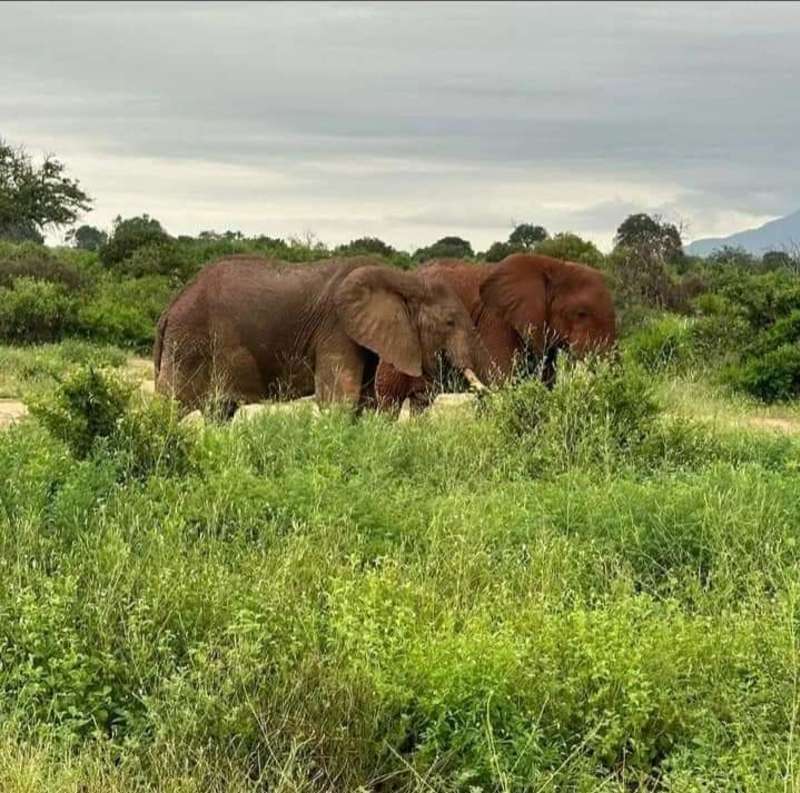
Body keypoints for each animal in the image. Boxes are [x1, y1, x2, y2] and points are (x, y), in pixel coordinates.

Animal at [153, 254, 488, 412]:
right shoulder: (336, 329)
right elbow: (340, 400)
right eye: (449, 322)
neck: (402, 278)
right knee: (172, 406)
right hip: (189, 342)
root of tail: (168, 309)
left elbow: (365, 402)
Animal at [375, 252, 616, 410]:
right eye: (582, 313)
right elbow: (500, 383)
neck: (552, 265)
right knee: (389, 397)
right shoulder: (496, 321)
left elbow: (545, 384)